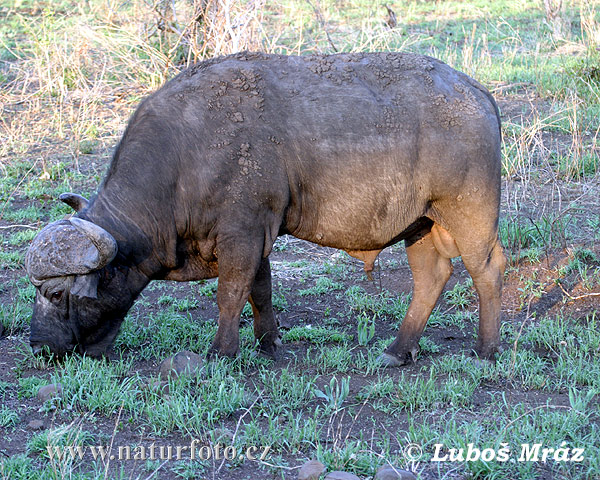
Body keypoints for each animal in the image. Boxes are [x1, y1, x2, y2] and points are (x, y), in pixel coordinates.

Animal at [27, 51, 506, 364]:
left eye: (55, 293)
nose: (38, 345)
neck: (183, 157)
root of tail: (476, 92)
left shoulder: (241, 232)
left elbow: (229, 293)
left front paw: (221, 353)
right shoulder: (256, 235)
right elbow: (260, 290)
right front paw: (268, 342)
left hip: (469, 212)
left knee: (487, 269)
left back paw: (485, 350)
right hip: (421, 223)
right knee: (432, 277)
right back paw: (398, 350)